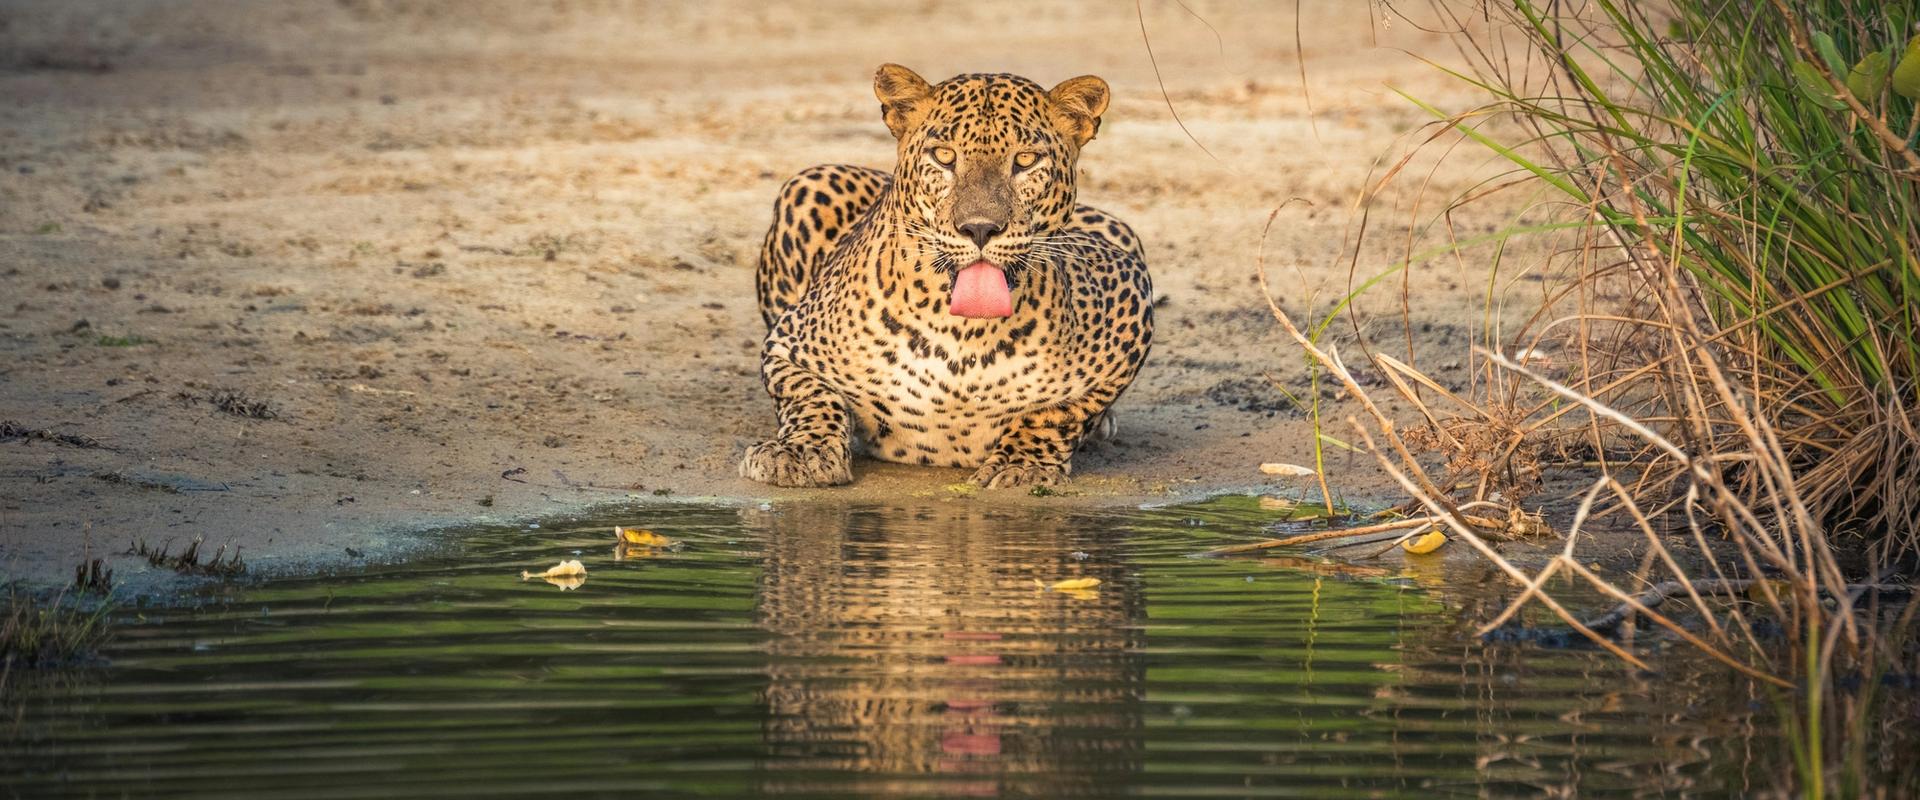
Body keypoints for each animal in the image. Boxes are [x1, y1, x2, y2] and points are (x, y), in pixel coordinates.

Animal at [740, 63, 1153, 489]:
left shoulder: (1130, 291)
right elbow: (811, 395)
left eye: (1025, 160)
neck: (963, 336)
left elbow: (1058, 412)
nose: (980, 228)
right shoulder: (788, 344)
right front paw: (800, 452)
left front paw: (1020, 465)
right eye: (944, 156)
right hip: (810, 181)